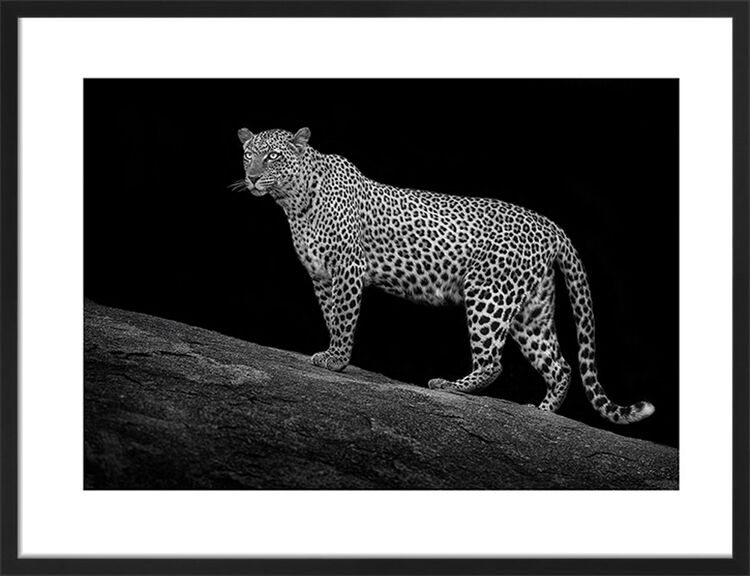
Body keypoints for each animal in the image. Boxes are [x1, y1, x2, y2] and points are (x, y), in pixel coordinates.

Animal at [233, 126, 655, 425]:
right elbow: (331, 315)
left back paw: (451, 386)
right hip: (531, 310)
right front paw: (331, 352)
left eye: (272, 157)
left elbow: (344, 317)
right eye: (248, 156)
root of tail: (552, 226)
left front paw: (336, 360)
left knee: (493, 363)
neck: (294, 202)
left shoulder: (347, 269)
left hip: (488, 295)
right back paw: (542, 411)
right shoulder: (321, 276)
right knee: (560, 364)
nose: (252, 178)